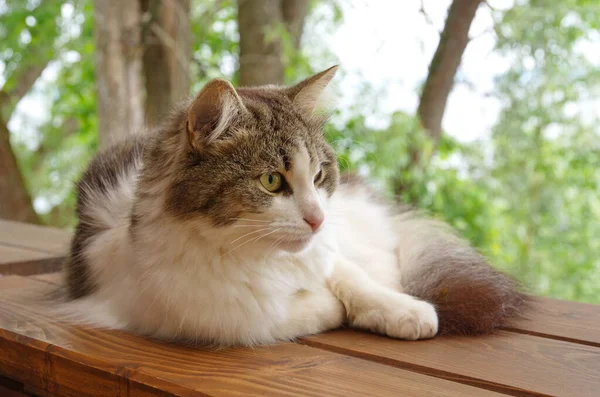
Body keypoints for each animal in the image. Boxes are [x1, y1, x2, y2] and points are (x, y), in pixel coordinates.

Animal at [63, 66, 524, 344]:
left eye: (318, 176)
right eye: (271, 181)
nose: (317, 219)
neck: (261, 258)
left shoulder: (327, 253)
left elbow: (352, 278)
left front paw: (401, 310)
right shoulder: (206, 315)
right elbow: (289, 314)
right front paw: (329, 307)